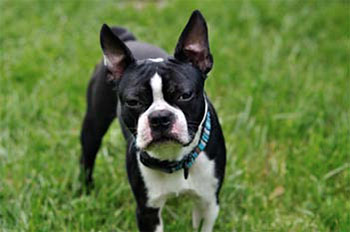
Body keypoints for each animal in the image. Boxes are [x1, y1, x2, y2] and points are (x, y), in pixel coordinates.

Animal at [79, 10, 227, 232]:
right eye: (133, 102)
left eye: (185, 95)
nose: (160, 118)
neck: (174, 158)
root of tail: (131, 39)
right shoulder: (147, 210)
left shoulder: (208, 204)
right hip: (93, 124)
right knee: (87, 156)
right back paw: (84, 192)